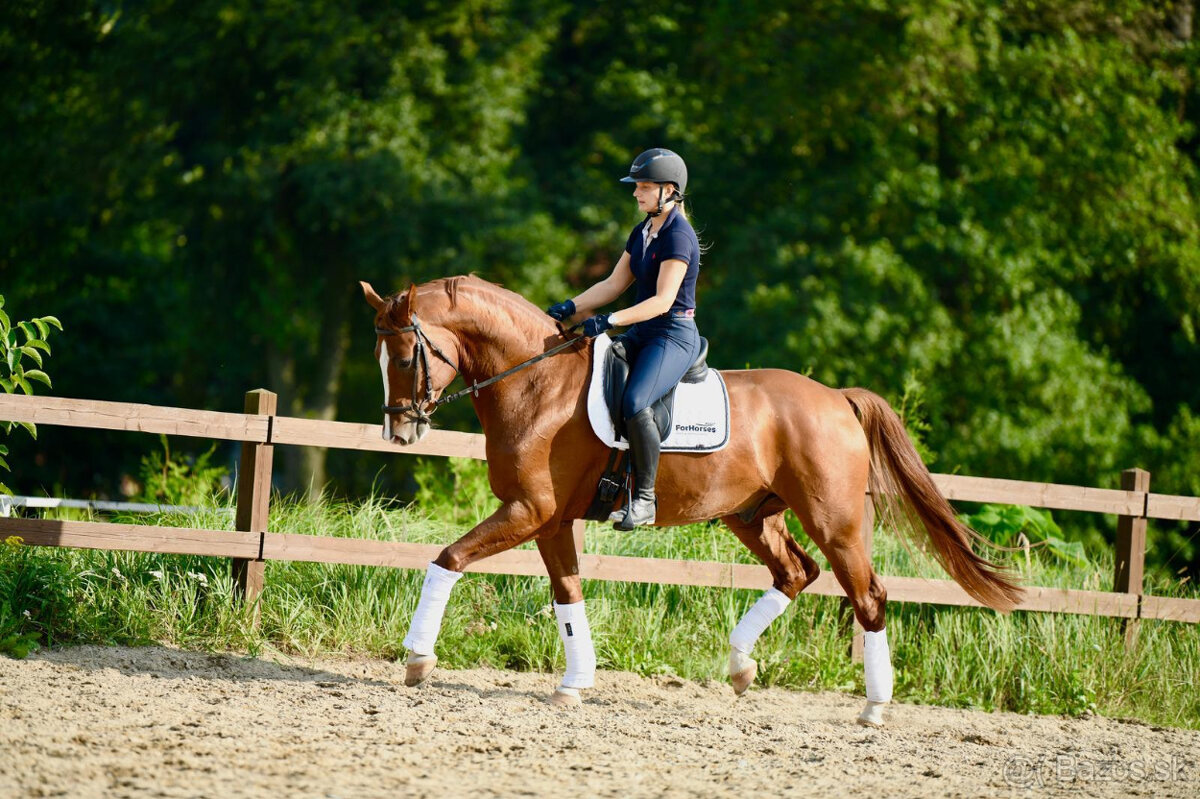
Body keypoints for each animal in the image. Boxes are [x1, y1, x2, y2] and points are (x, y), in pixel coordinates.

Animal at [357, 272, 1022, 719]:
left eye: (406, 355)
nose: (399, 431)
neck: (535, 381)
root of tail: (837, 398)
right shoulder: (551, 522)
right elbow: (568, 597)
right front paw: (575, 683)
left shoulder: (529, 512)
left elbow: (448, 559)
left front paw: (417, 660)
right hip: (752, 517)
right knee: (795, 573)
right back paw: (741, 667)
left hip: (835, 522)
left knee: (869, 596)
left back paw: (874, 707)